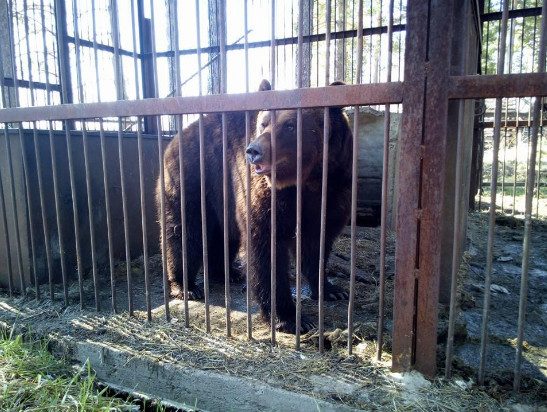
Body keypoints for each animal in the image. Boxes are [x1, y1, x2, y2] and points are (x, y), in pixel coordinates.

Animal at [157, 79, 356, 334]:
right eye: (263, 123)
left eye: (290, 125)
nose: (253, 150)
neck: (308, 180)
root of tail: (177, 136)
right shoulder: (267, 196)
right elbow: (266, 246)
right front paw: (290, 318)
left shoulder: (333, 191)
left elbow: (317, 244)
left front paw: (332, 290)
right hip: (194, 177)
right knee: (185, 231)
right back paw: (186, 286)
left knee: (223, 236)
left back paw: (227, 272)